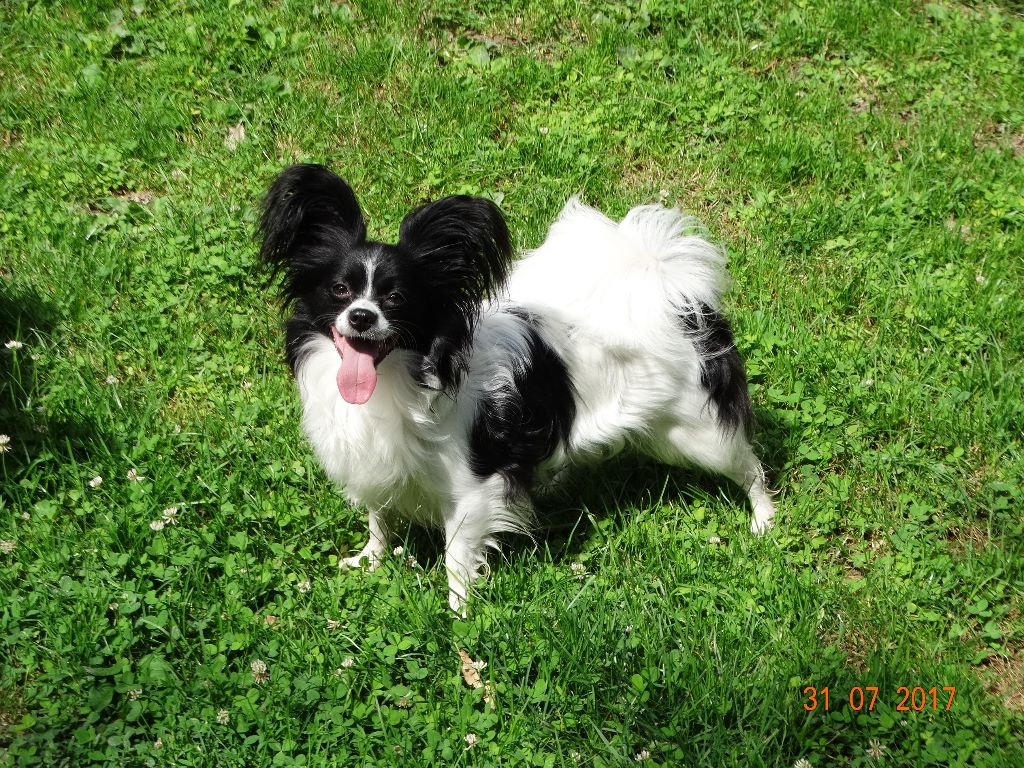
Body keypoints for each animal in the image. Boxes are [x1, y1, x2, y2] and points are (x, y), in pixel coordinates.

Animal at [259, 164, 775, 613]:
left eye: (396, 298)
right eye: (340, 291)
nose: (362, 317)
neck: (399, 377)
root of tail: (678, 299)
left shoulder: (471, 489)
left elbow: (456, 555)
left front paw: (460, 613)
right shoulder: (371, 460)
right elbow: (378, 517)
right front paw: (370, 559)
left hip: (696, 433)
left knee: (750, 466)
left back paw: (764, 520)